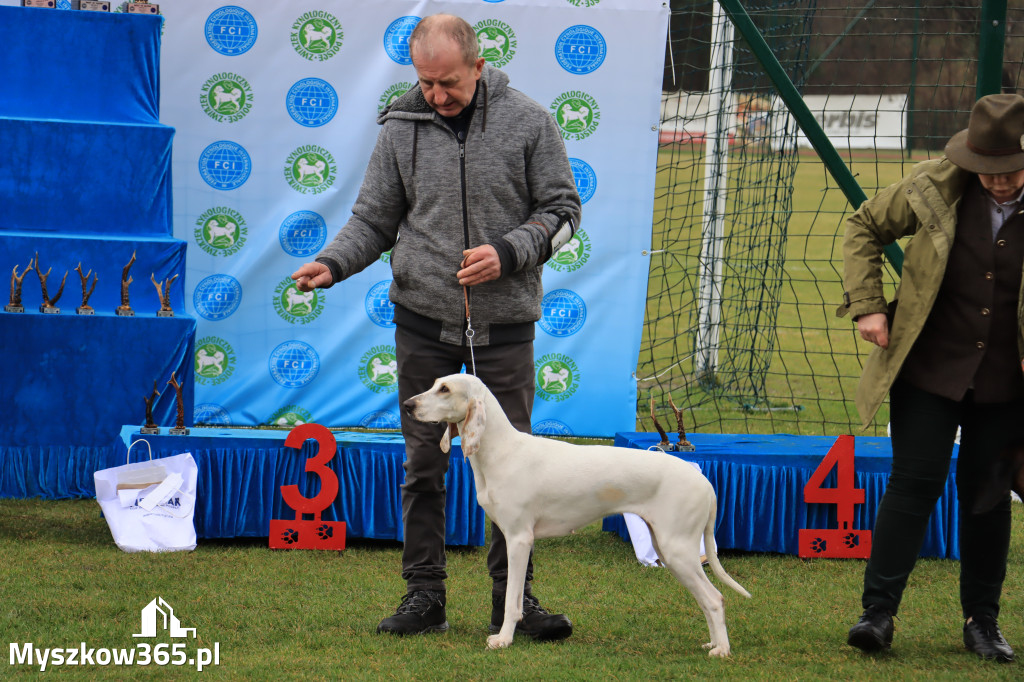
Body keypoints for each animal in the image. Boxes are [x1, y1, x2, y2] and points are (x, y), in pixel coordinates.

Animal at [403, 372, 749, 655]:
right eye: (433, 384)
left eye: (445, 389)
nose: (406, 405)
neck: (502, 450)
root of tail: (703, 481)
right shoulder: (510, 536)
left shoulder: (519, 540)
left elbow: (512, 599)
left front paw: (503, 639)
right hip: (672, 552)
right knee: (706, 600)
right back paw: (713, 643)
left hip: (678, 551)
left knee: (714, 599)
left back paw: (721, 650)